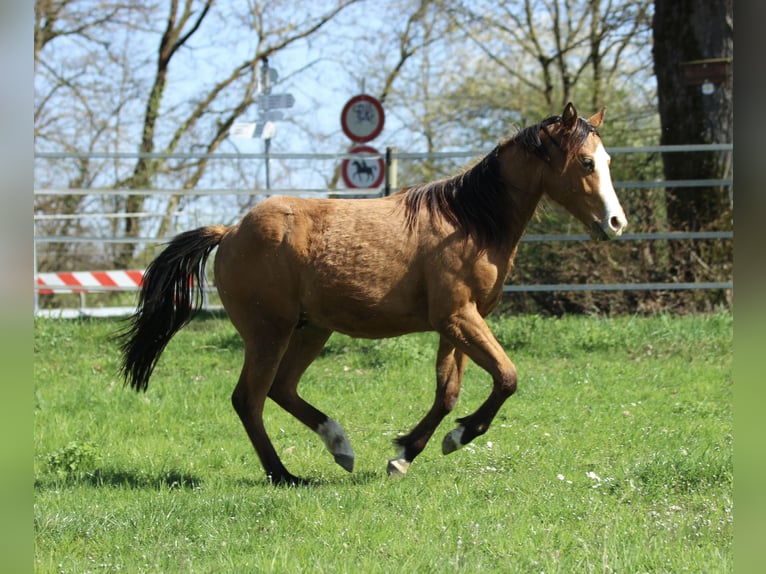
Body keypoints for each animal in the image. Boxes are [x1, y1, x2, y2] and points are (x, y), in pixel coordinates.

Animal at [117, 103, 627, 486]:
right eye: (586, 162)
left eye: (606, 162)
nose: (616, 223)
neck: (468, 222)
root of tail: (230, 232)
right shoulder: (459, 318)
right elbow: (507, 377)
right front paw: (458, 437)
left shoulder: (458, 322)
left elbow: (449, 393)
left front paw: (406, 453)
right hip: (268, 332)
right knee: (250, 399)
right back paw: (284, 474)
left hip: (311, 330)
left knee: (282, 389)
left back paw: (340, 446)